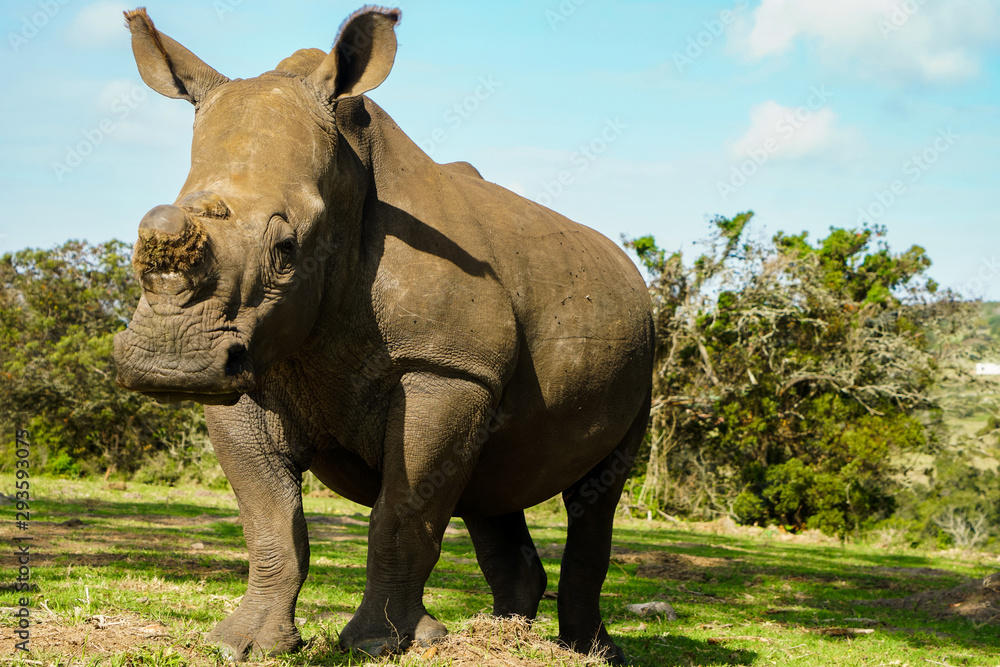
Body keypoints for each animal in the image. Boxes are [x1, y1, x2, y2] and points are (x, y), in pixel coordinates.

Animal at [113, 6, 653, 664]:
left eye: (286, 251)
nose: (171, 363)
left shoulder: (445, 368)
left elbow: (402, 513)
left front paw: (380, 644)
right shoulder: (242, 365)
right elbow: (270, 517)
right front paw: (244, 643)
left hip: (643, 345)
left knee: (596, 493)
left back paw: (587, 652)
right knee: (493, 483)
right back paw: (505, 637)